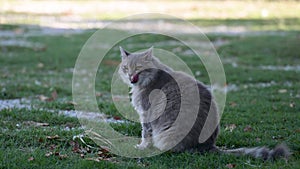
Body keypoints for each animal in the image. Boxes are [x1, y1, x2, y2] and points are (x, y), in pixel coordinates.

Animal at [118, 46, 290, 161]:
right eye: (125, 68)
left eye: (138, 68)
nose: (130, 75)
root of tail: (206, 146)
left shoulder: (146, 114)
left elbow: (145, 133)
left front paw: (142, 147)